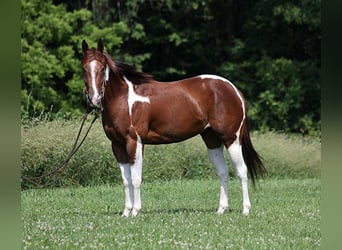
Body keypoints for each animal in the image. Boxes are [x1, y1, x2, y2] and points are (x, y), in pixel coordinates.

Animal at [81, 39, 266, 217]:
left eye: (102, 68)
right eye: (84, 68)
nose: (94, 99)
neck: (124, 100)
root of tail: (235, 90)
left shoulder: (135, 142)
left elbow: (136, 178)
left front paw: (135, 211)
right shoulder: (117, 145)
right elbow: (126, 180)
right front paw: (126, 212)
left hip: (232, 139)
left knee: (241, 171)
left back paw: (245, 210)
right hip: (212, 141)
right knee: (223, 172)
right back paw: (221, 209)